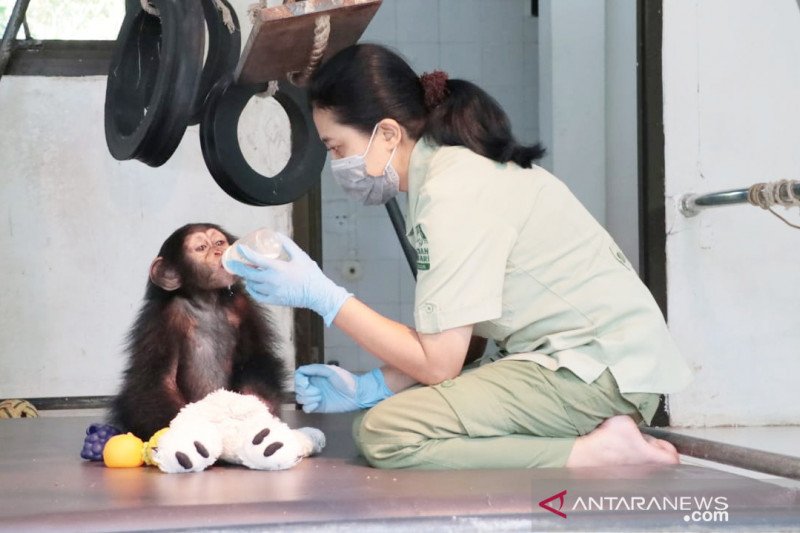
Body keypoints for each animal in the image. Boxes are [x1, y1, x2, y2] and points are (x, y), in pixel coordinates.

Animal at [111, 222, 288, 438]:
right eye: (201, 248)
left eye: (219, 242)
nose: (219, 252)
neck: (206, 301)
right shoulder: (162, 321)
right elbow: (157, 381)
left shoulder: (243, 307)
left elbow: (255, 359)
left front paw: (257, 412)